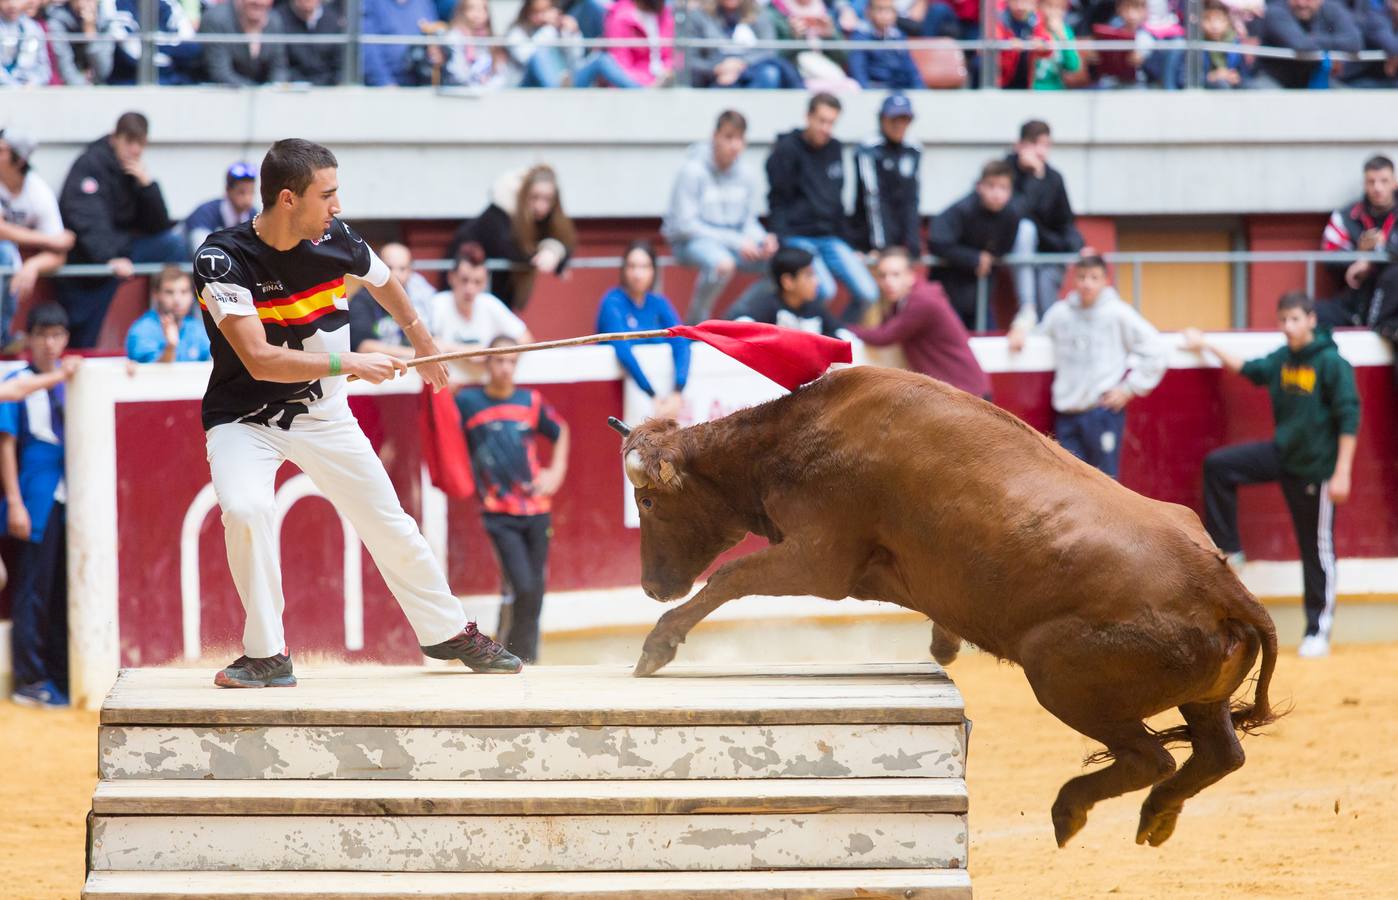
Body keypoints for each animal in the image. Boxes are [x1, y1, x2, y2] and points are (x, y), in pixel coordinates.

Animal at [612, 366, 1280, 849]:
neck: (798, 434)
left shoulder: (818, 560)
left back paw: (1070, 811)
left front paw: (657, 646)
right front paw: (943, 644)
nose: (651, 588)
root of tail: (1222, 585)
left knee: (1150, 757)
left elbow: (729, 577)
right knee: (1220, 754)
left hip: (1059, 678)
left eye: (647, 501)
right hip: (1199, 696)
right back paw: (1156, 819)